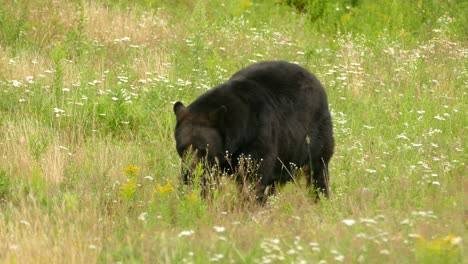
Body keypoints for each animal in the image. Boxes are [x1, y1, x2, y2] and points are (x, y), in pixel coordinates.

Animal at [173, 60, 332, 201]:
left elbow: (255, 177)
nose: (189, 175)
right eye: (181, 148)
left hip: (315, 136)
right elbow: (209, 181)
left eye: (203, 150)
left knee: (318, 171)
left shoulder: (259, 136)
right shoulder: (217, 161)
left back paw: (320, 199)